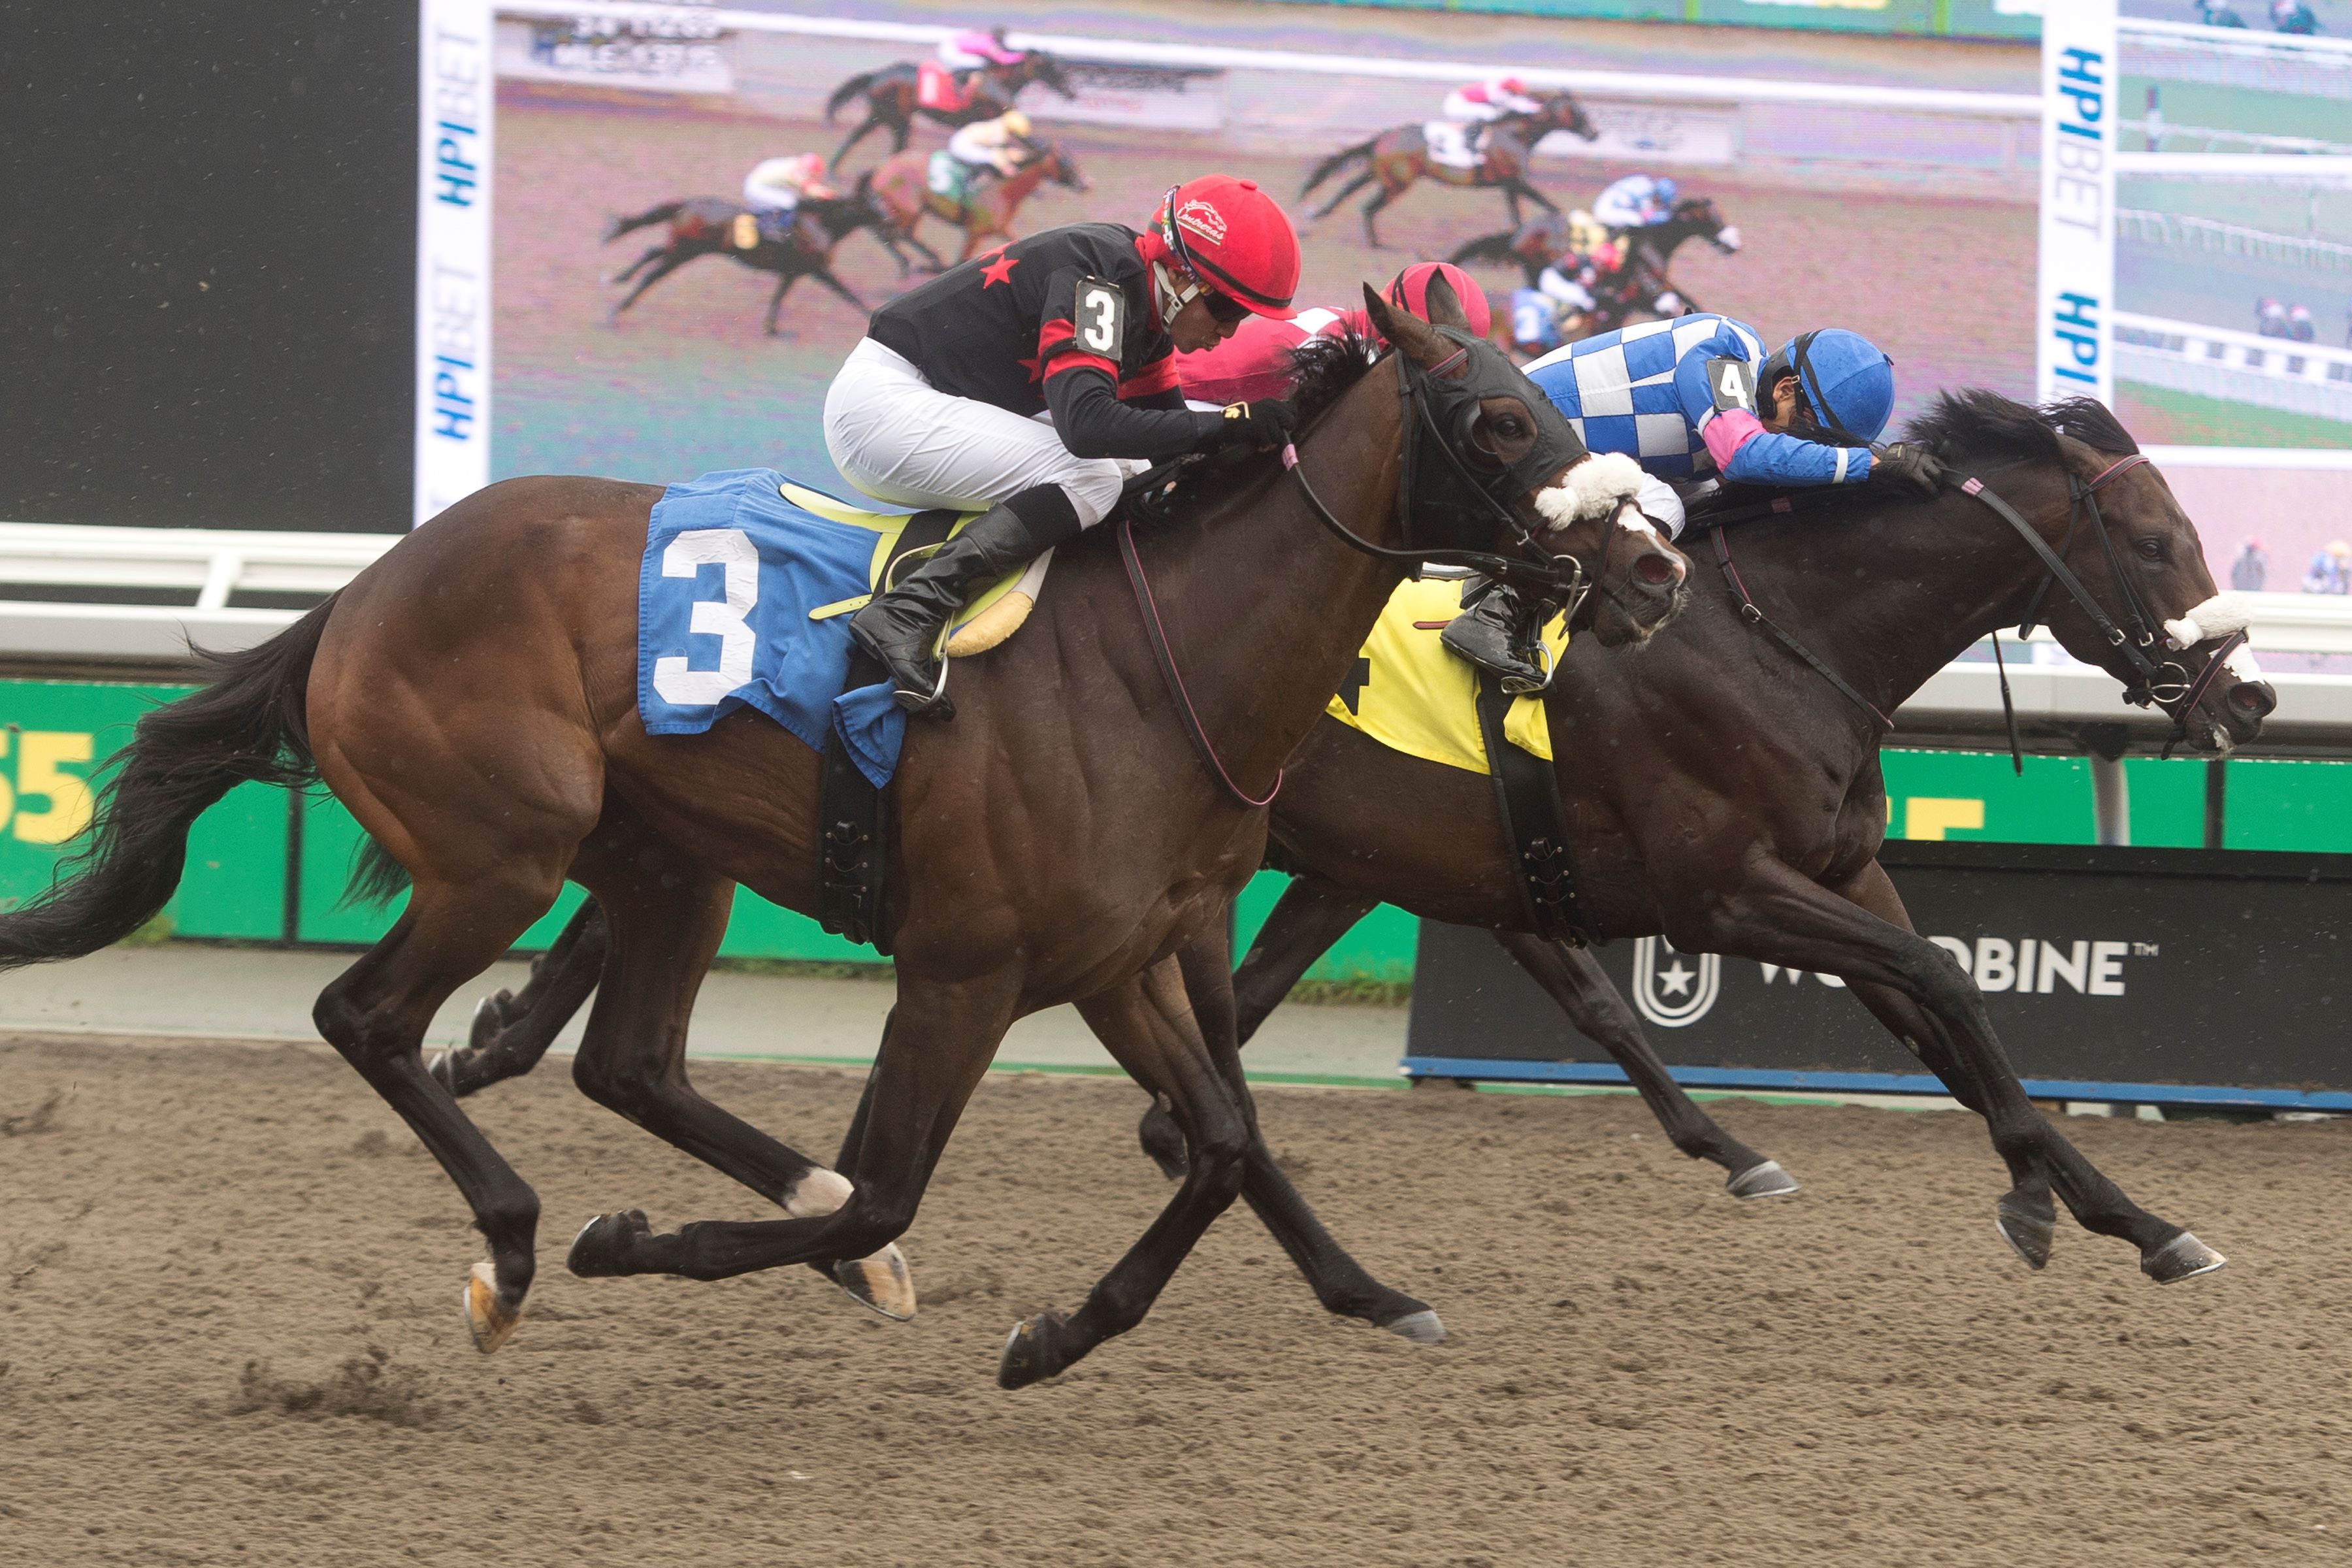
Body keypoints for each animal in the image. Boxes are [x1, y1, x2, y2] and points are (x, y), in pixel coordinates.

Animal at [1307, 95, 1599, 250]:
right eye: (1579, 112)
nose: (1594, 134)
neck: (1513, 135)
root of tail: (1383, 137)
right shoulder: (1516, 181)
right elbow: (1551, 207)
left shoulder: (1510, 185)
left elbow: (1517, 217)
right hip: (1397, 183)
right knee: (1369, 206)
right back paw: (1374, 243)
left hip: (1381, 176)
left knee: (1351, 191)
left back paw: (1321, 214)